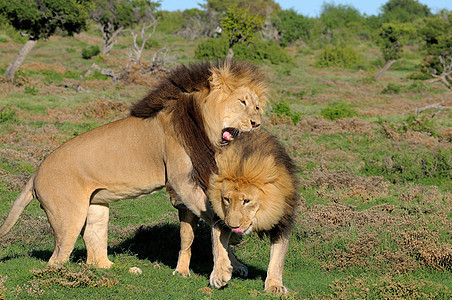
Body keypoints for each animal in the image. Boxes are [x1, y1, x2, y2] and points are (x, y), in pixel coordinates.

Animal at [0, 60, 266, 288]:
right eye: (242, 102)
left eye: (256, 106)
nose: (257, 123)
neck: (201, 122)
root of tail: (35, 173)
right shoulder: (181, 181)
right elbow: (216, 219)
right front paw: (223, 270)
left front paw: (235, 263)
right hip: (68, 217)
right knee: (55, 262)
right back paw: (70, 278)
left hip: (97, 209)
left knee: (95, 256)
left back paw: (122, 270)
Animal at [208, 130, 300, 294]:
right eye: (226, 199)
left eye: (246, 201)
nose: (233, 226)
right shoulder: (220, 217)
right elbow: (218, 246)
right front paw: (219, 274)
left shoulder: (283, 223)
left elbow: (278, 257)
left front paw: (274, 285)